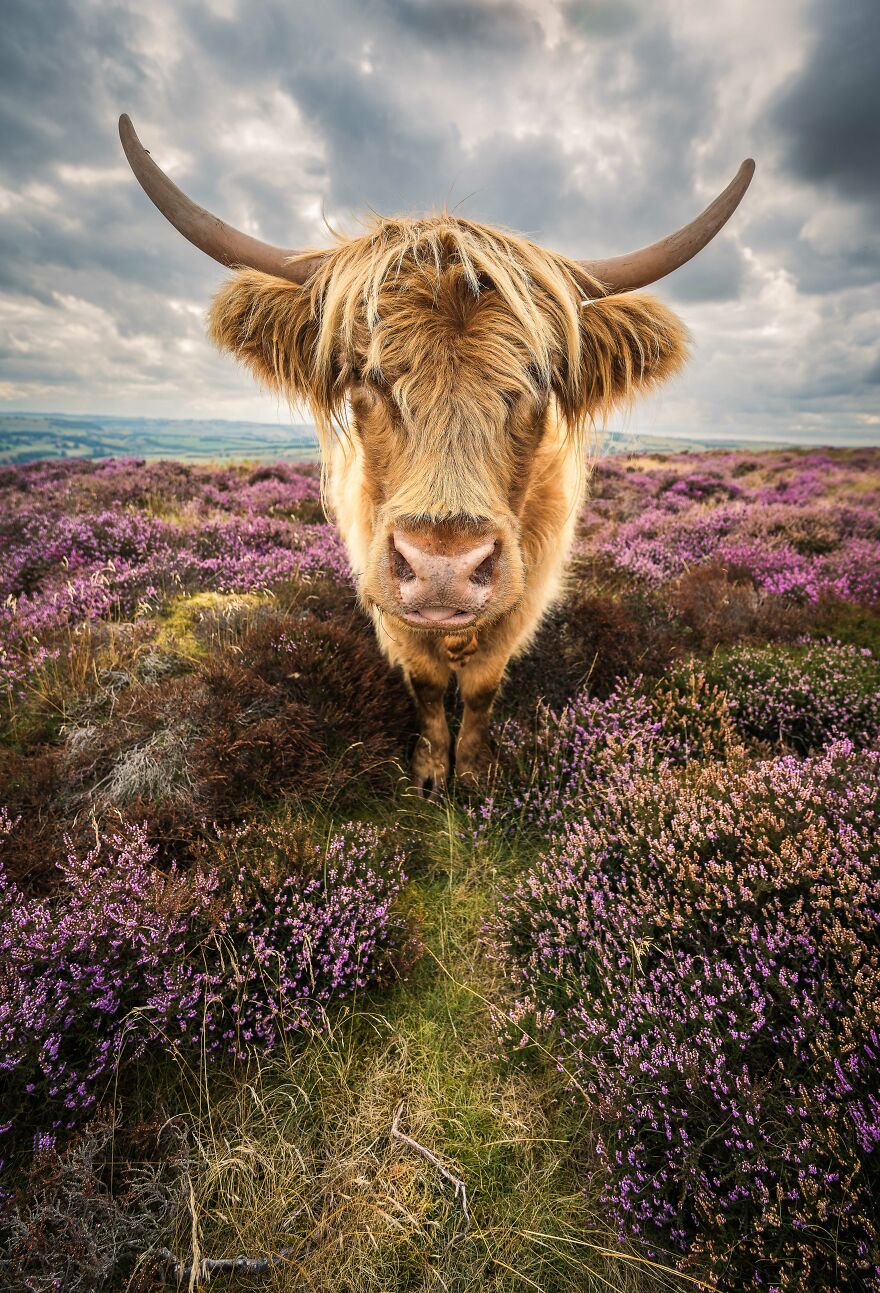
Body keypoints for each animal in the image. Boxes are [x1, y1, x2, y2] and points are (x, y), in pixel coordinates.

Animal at [119, 115, 754, 794]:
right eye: (367, 374)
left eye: (536, 379)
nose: (443, 568)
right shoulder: (385, 591)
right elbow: (425, 682)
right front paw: (428, 770)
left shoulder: (526, 591)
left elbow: (480, 687)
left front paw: (471, 773)